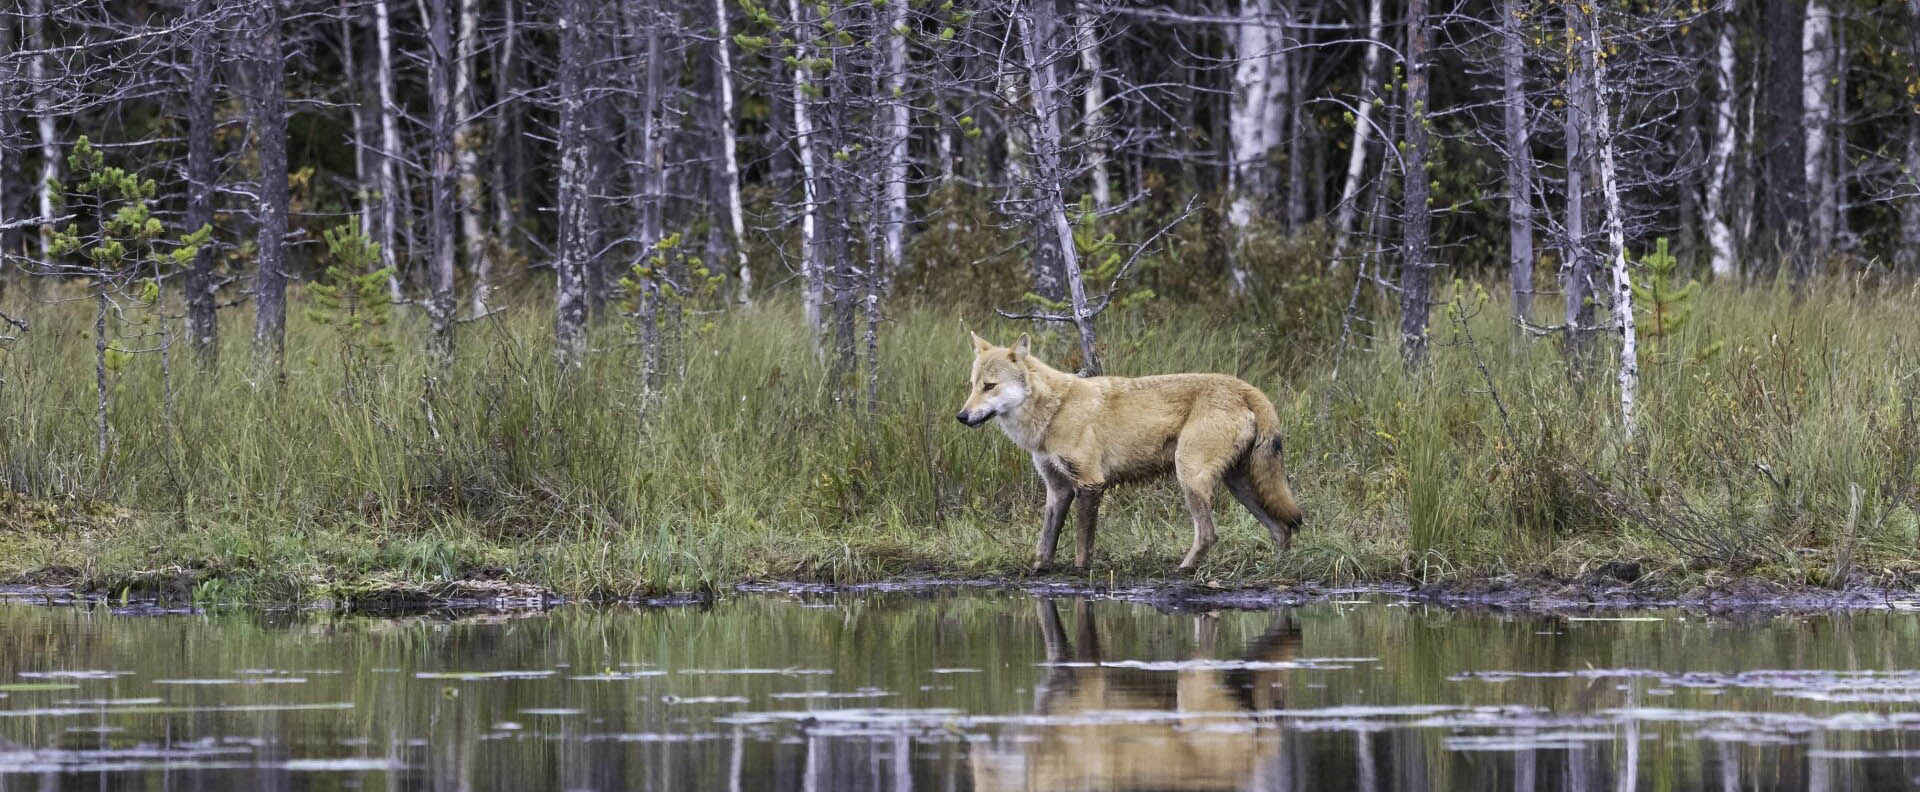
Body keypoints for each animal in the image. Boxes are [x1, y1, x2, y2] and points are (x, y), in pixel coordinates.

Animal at [955, 332, 1304, 573]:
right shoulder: (1058, 489)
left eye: (990, 386)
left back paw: (1183, 570)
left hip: (1191, 478)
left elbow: (1082, 543)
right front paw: (1040, 570)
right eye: (972, 385)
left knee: (1209, 535)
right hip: (1239, 487)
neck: (1056, 410)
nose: (961, 416)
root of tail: (1247, 388)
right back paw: (1278, 569)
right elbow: (1046, 541)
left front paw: (1080, 572)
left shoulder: (1090, 483)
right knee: (1281, 529)